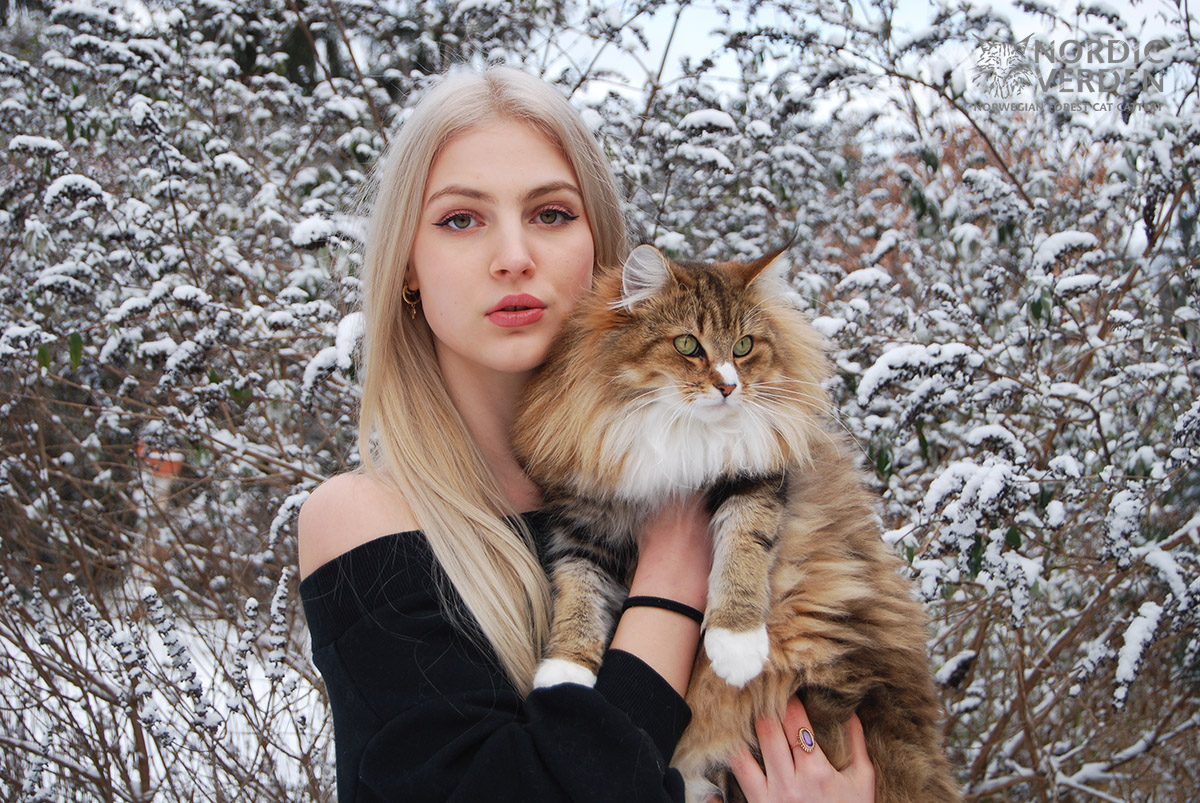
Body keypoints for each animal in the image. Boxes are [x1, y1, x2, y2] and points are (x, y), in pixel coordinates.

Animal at [511, 245, 959, 803]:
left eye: (744, 347)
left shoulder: (754, 481)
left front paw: (736, 644)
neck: (679, 433)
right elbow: (578, 595)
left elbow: (743, 551)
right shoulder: (587, 518)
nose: (729, 386)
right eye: (687, 345)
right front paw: (564, 675)